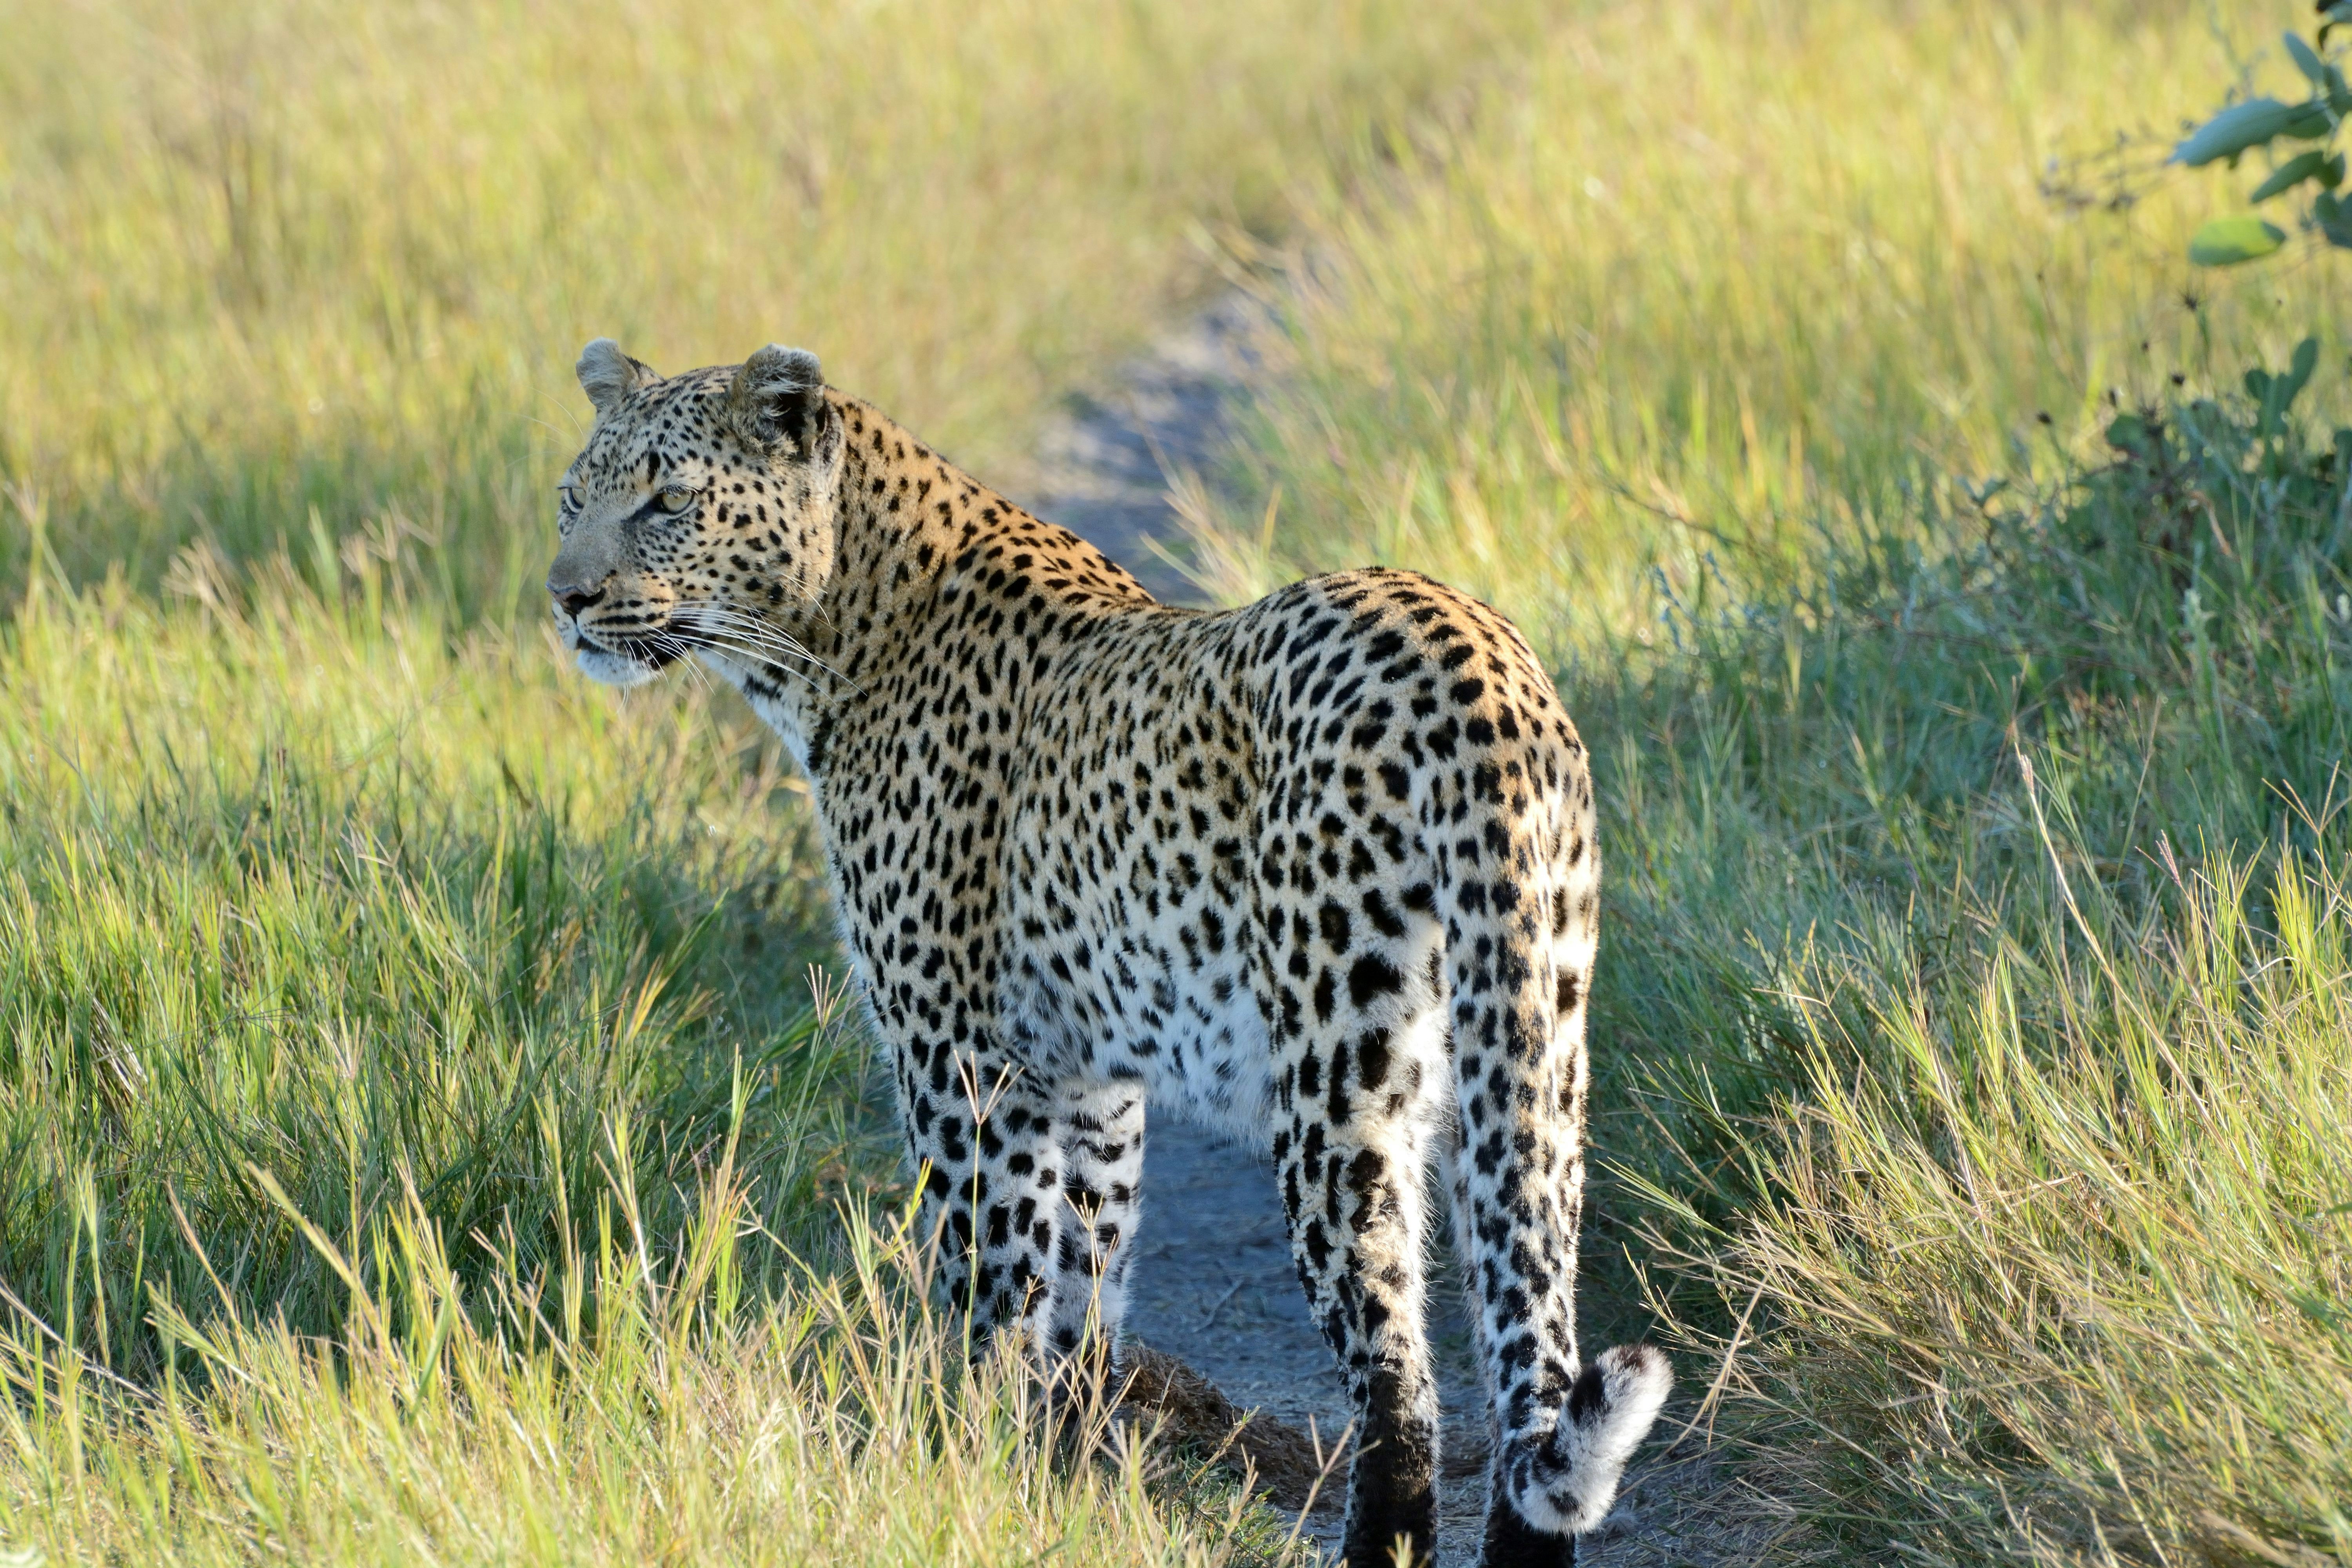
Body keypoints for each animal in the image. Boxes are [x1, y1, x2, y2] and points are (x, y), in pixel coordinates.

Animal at [546, 337, 1671, 1566]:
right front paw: (1059, 1479)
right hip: (1539, 1047)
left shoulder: (960, 1060)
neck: (833, 635)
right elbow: (1086, 1287)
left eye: (665, 502)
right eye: (573, 498)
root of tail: (1473, 662)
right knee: (1533, 1341)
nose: (566, 598)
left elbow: (990, 1284)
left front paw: (966, 1465)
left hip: (1340, 1085)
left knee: (1397, 1378)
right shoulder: (1090, 1082)